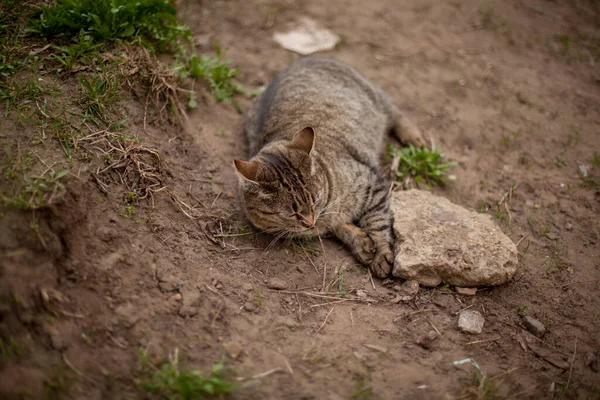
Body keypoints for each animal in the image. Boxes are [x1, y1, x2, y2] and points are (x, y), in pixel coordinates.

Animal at [232, 57, 424, 276]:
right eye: (292, 213)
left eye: (314, 200)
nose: (309, 221)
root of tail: (305, 59)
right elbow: (338, 227)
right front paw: (360, 243)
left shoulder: (373, 183)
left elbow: (377, 222)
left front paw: (382, 253)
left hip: (376, 99)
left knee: (395, 112)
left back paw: (413, 137)